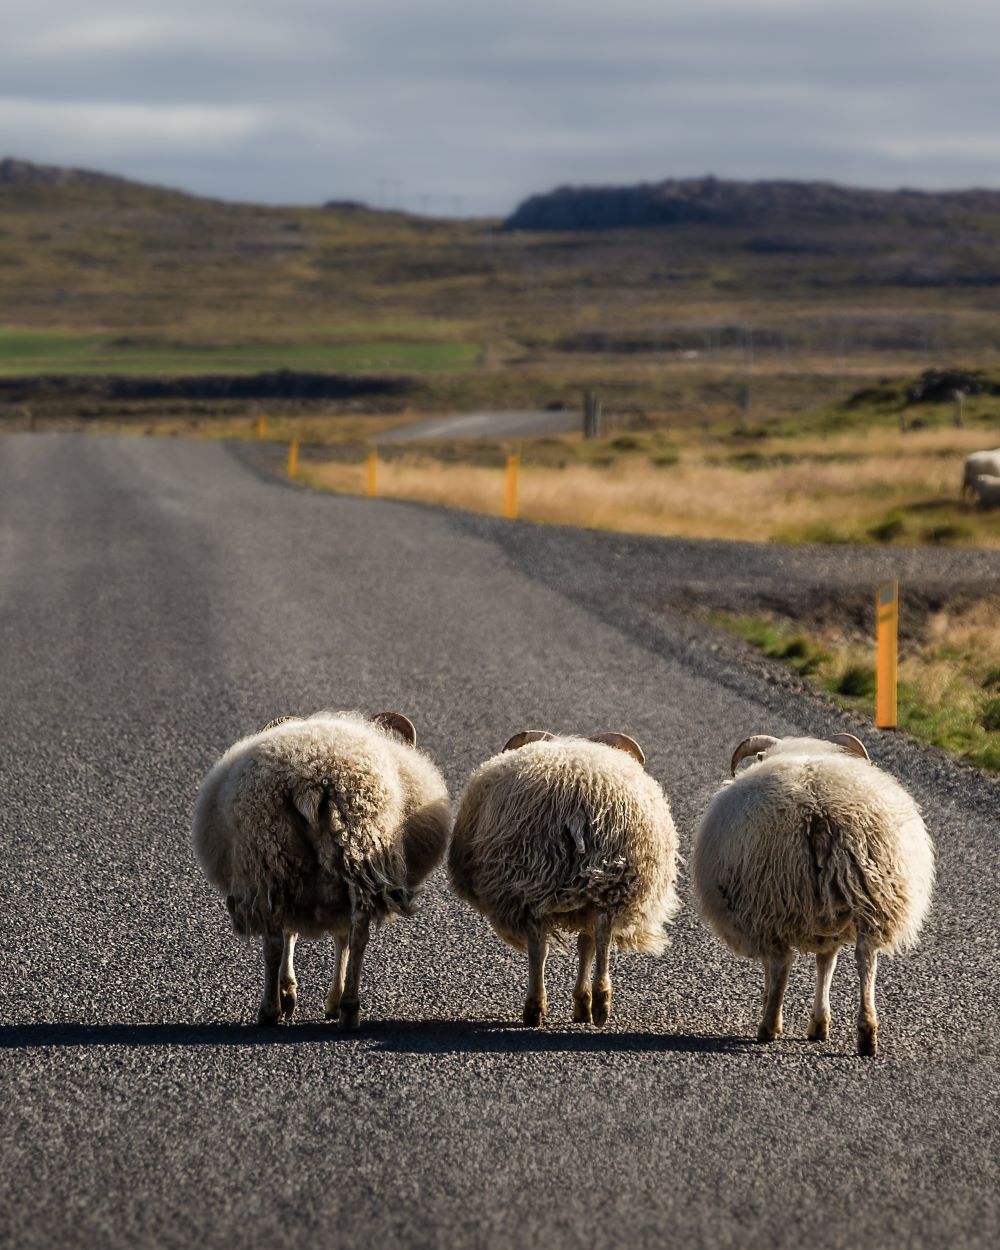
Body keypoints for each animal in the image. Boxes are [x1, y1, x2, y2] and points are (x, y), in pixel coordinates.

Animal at [191, 710, 450, 1030]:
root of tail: (310, 780)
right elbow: (336, 937)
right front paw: (319, 999)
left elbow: (304, 934)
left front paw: (296, 994)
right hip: (345, 852)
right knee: (353, 933)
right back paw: (345, 1009)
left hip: (273, 857)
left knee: (279, 939)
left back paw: (274, 1010)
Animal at [450, 730, 680, 1030]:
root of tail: (577, 806)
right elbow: (586, 944)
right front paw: (583, 1005)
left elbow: (578, 945)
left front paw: (581, 1004)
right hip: (609, 878)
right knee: (602, 932)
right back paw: (601, 1002)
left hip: (534, 874)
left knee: (539, 945)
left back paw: (535, 1008)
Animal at [690, 730, 935, 1055]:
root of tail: (819, 810)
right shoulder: (829, 923)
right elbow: (826, 964)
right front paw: (819, 1025)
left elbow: (778, 967)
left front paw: (785, 1012)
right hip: (874, 896)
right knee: (866, 958)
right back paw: (867, 1032)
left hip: (770, 896)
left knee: (781, 961)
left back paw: (769, 1026)